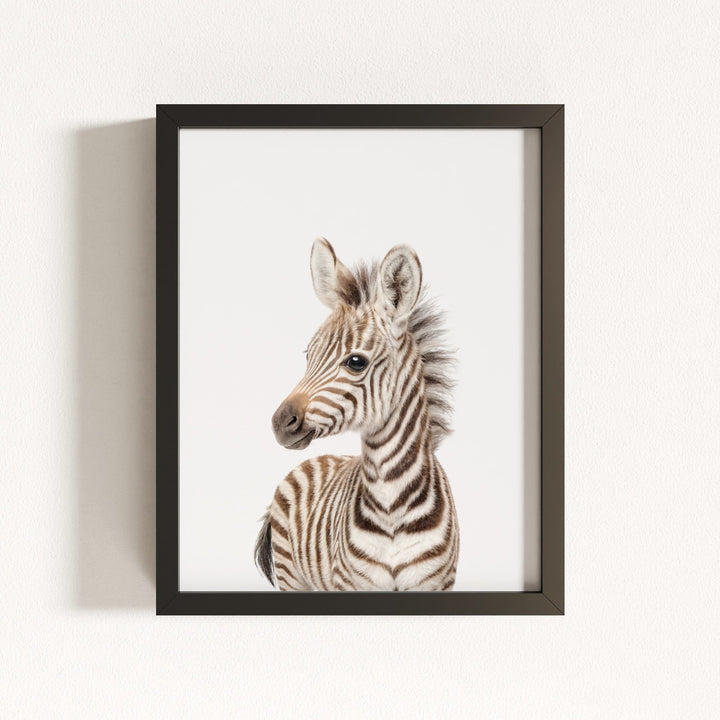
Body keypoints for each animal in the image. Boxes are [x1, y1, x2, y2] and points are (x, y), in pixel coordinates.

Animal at [255, 237, 459, 591]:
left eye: (356, 362)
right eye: (308, 355)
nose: (280, 423)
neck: (392, 504)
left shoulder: (435, 583)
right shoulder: (352, 583)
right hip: (291, 575)